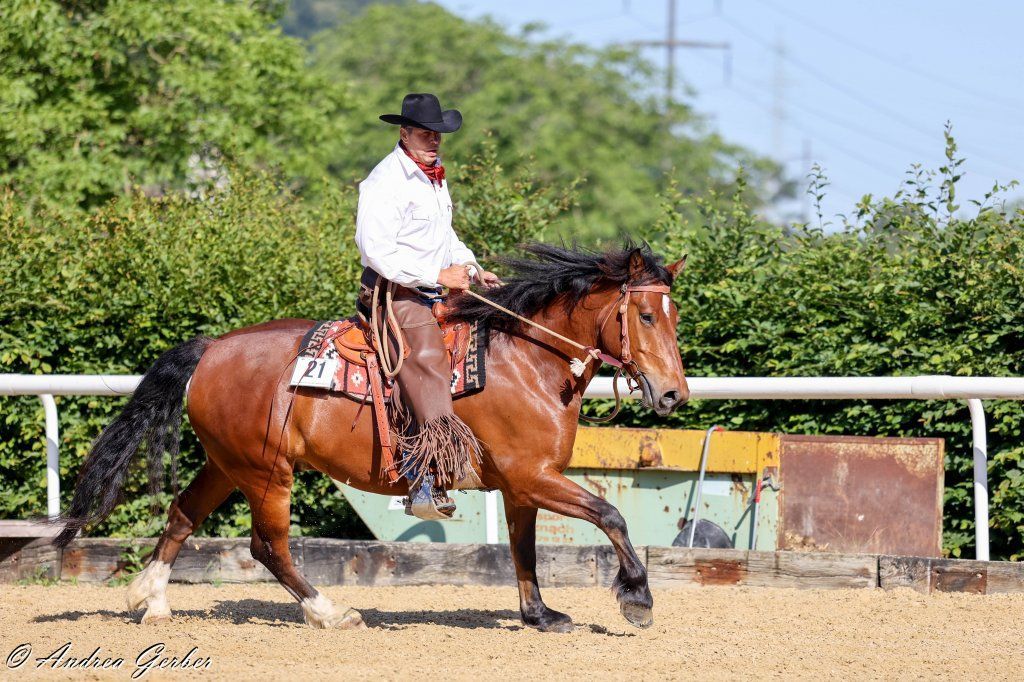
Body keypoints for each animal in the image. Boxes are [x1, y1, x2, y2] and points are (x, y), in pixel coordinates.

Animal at [54, 242, 689, 632]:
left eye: (675, 316)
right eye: (646, 317)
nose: (673, 395)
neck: (525, 360)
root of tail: (211, 348)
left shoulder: (521, 485)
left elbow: (524, 549)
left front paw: (539, 615)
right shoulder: (533, 477)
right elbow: (611, 515)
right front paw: (638, 598)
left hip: (228, 464)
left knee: (183, 514)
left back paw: (151, 601)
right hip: (267, 473)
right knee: (269, 546)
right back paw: (329, 612)